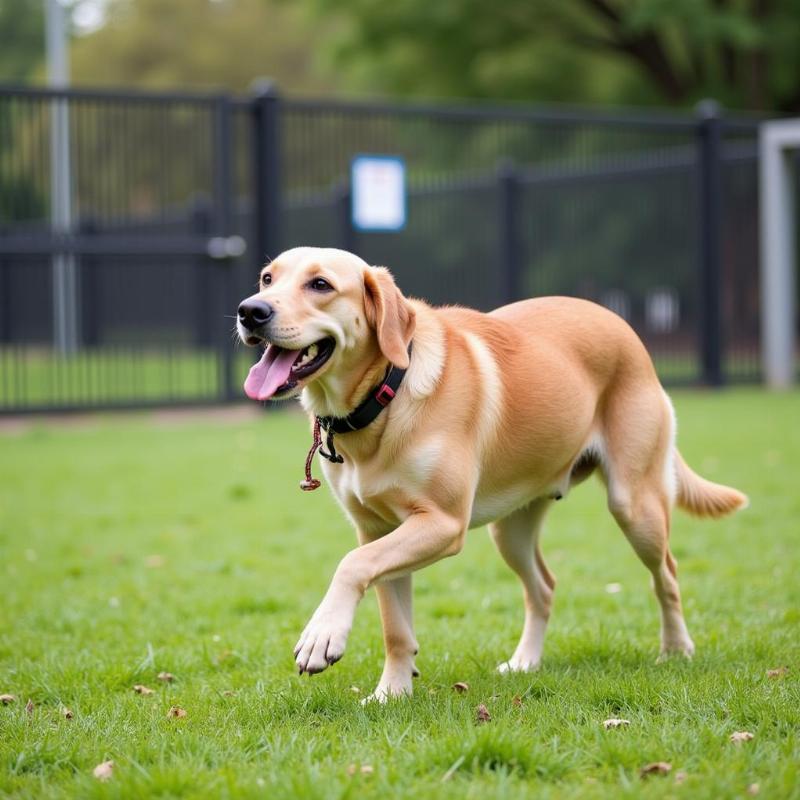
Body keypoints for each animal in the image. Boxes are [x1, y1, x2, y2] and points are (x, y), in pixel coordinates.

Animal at [234, 247, 748, 704]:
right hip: (511, 529)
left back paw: (676, 649)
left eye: (320, 284)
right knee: (544, 588)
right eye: (266, 278)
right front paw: (392, 693)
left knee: (668, 576)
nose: (249, 311)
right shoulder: (379, 531)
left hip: (634, 504)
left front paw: (322, 636)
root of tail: (620, 323)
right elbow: (394, 626)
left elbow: (351, 565)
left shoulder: (441, 524)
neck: (385, 396)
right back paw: (525, 662)